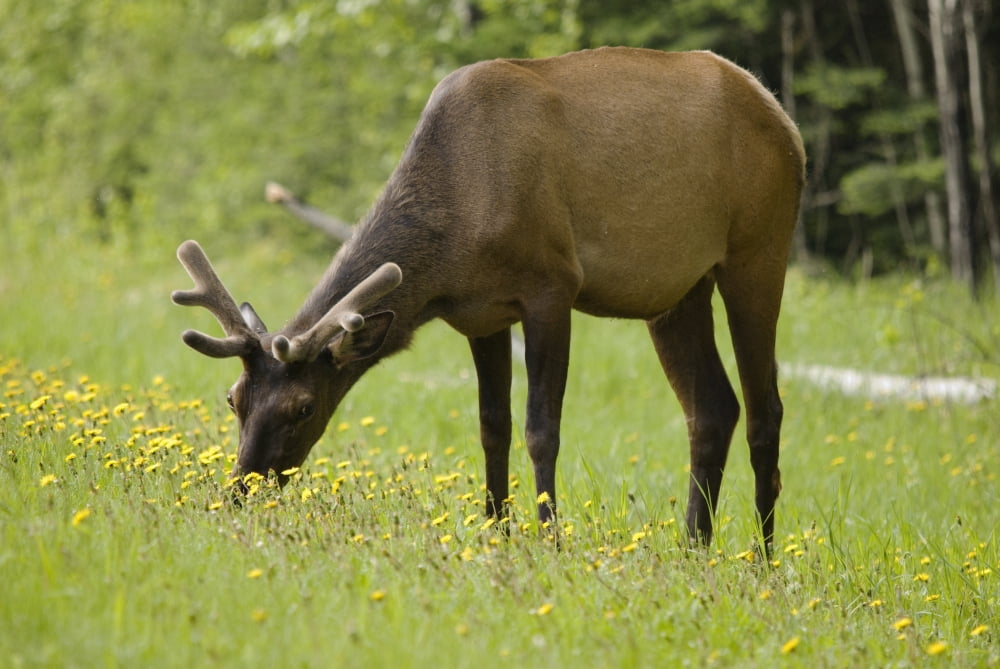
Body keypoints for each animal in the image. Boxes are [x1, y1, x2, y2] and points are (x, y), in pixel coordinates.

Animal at [173, 46, 805, 553]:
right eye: (233, 399)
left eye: (304, 407)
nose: (239, 492)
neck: (454, 248)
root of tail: (782, 118)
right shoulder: (481, 315)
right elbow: (491, 426)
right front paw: (495, 529)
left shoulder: (552, 285)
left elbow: (541, 428)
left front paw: (548, 537)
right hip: (676, 287)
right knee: (712, 407)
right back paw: (695, 545)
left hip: (759, 247)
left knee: (766, 409)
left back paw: (764, 555)